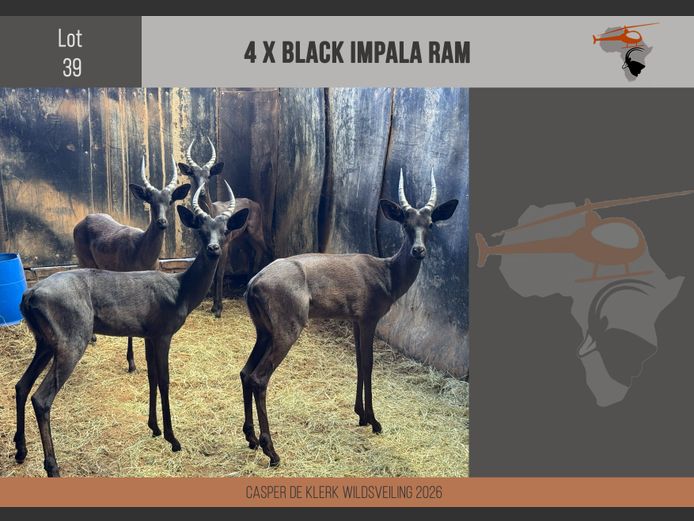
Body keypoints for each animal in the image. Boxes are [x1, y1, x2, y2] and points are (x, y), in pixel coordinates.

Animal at [14, 183, 249, 477]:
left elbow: (151, 377)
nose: (214, 248)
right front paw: (173, 439)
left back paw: (21, 451)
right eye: (201, 230)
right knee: (41, 398)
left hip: (44, 343)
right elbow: (164, 380)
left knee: (21, 385)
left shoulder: (148, 335)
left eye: (225, 229)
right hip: (70, 342)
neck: (180, 290)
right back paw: (52, 466)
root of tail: (29, 294)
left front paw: (154, 428)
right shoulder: (163, 334)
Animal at [73, 156, 191, 372]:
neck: (140, 253)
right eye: (150, 200)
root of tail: (80, 222)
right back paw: (92, 337)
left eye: (170, 200)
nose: (162, 222)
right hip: (82, 257)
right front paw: (131, 363)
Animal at [178, 138, 270, 318]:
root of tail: (254, 203)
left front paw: (218, 308)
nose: (201, 193)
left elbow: (220, 274)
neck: (213, 211)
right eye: (193, 174)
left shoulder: (225, 245)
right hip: (242, 238)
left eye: (209, 175)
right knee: (251, 253)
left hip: (256, 233)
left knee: (263, 250)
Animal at [240, 170, 459, 466]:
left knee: (245, 372)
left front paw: (360, 415)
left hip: (263, 331)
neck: (387, 275)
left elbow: (358, 362)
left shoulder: (355, 320)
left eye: (431, 224)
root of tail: (254, 283)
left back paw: (251, 438)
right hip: (286, 330)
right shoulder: (369, 318)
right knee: (259, 378)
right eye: (405, 223)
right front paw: (374, 421)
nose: (418, 250)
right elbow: (368, 364)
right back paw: (272, 451)